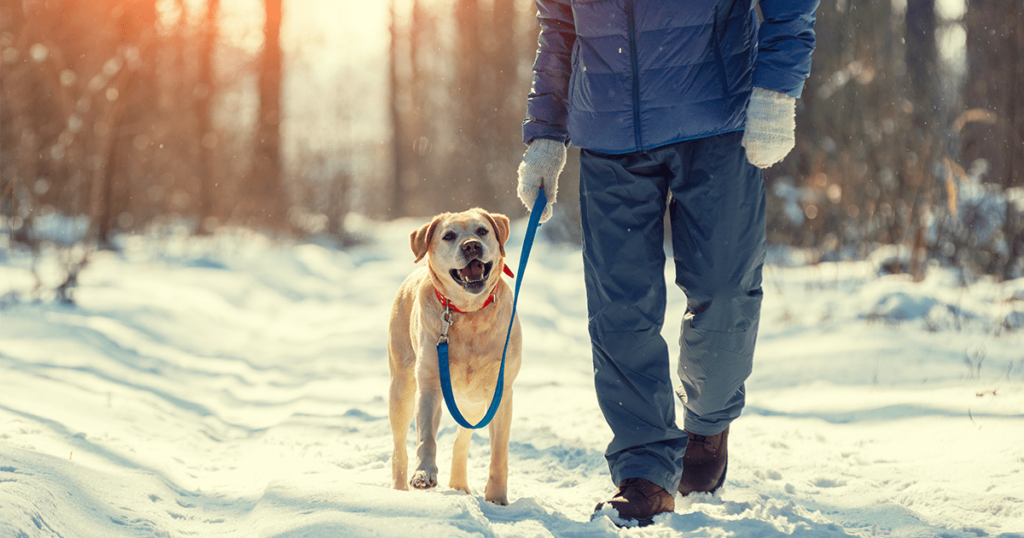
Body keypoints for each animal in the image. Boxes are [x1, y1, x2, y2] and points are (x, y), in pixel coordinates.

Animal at [389, 208, 524, 506]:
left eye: (482, 231)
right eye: (449, 236)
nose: (471, 246)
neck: (468, 312)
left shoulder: (502, 392)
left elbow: (499, 452)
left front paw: (497, 498)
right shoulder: (429, 385)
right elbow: (426, 438)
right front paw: (424, 474)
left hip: (473, 403)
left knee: (461, 441)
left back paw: (459, 484)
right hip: (402, 386)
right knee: (399, 446)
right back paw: (399, 488)